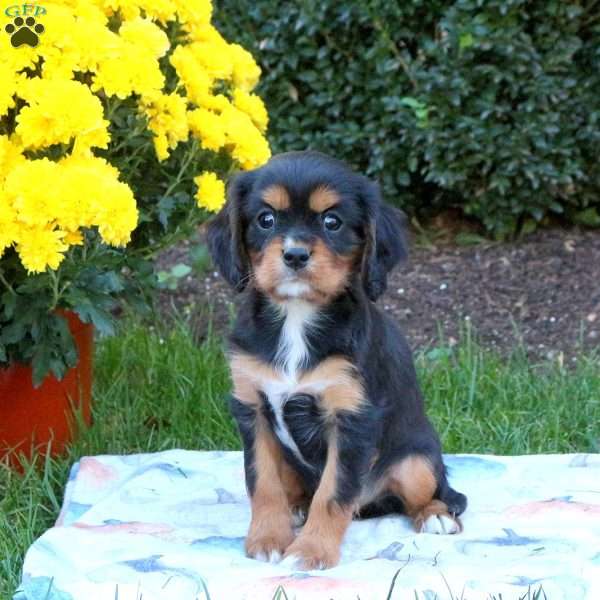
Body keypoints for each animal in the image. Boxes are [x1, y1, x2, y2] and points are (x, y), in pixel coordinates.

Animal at [209, 151, 466, 572]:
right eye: (266, 219)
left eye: (332, 222)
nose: (295, 254)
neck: (297, 318)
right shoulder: (253, 409)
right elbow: (263, 483)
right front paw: (267, 539)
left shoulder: (351, 419)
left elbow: (332, 495)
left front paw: (310, 551)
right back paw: (297, 507)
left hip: (416, 461)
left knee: (430, 493)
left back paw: (435, 515)